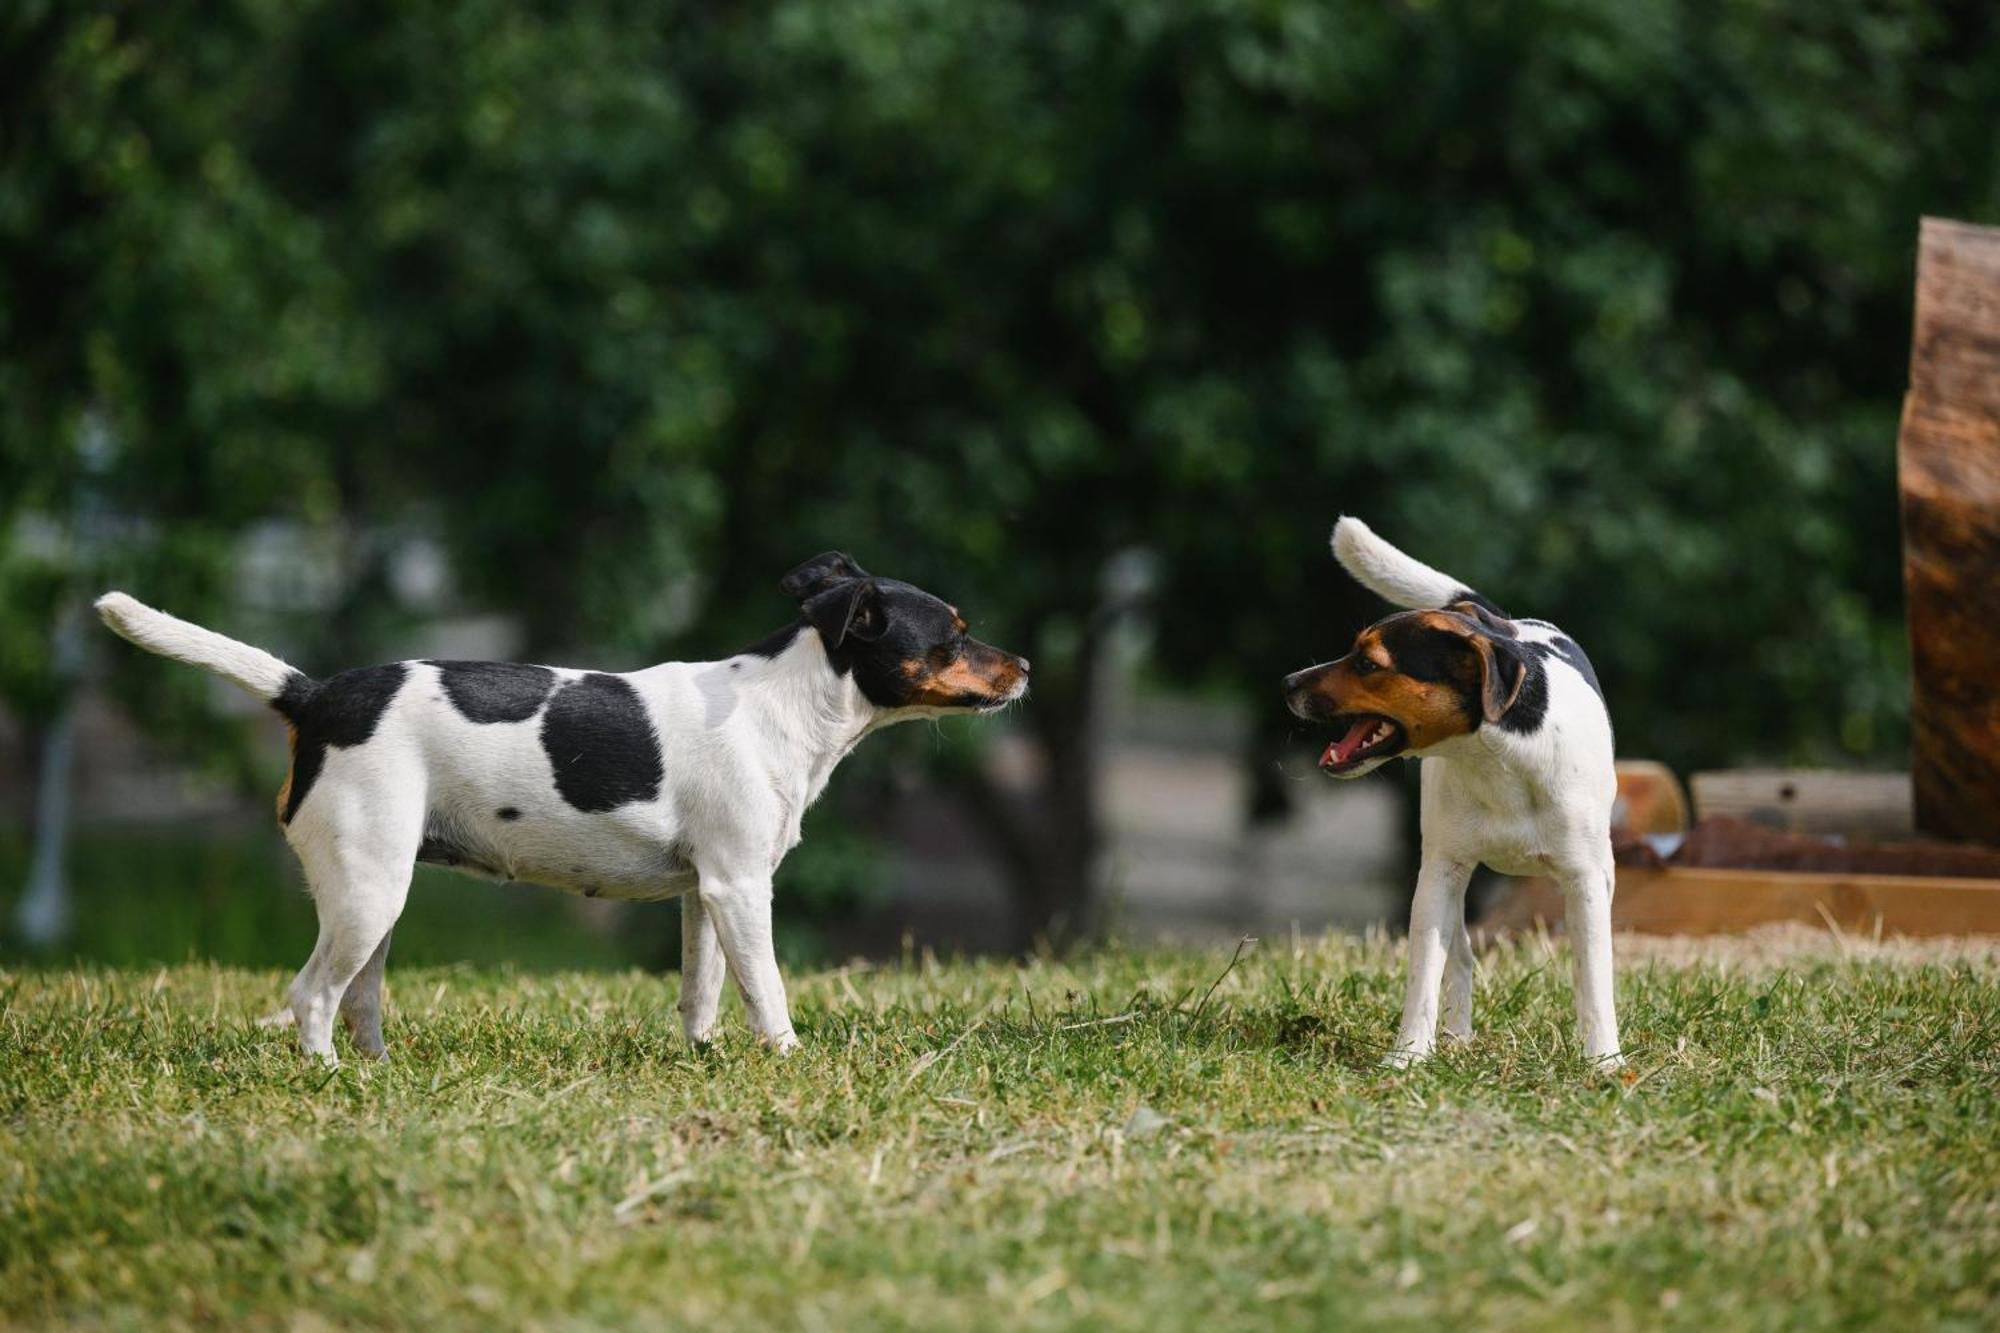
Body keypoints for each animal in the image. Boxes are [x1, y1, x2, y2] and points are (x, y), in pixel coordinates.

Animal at [94, 556, 1032, 1064]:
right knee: (311, 993)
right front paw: (788, 1059)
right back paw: (325, 1076)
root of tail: (314, 694)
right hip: (366, 889)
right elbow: (765, 989)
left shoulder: (705, 894)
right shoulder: (740, 887)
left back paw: (378, 1073)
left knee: (359, 996)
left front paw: (703, 1059)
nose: (1025, 666)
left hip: (378, 893)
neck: (786, 702)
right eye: (951, 635)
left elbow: (701, 992)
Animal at [1280, 512, 1624, 1064]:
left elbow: (1592, 979)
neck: (1499, 763)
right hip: (1446, 869)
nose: (1287, 683)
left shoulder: (1584, 882)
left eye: (1368, 663)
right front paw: (1408, 1055)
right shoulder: (1440, 875)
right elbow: (1426, 973)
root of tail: (1500, 621)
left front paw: (1604, 1061)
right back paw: (1457, 1036)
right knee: (1458, 955)